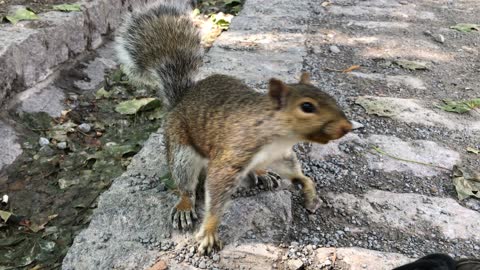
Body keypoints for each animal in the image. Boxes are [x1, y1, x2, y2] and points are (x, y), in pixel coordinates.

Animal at [114, 0, 350, 254]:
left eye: (330, 97)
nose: (347, 127)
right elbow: (216, 193)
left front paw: (308, 187)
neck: (279, 137)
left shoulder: (280, 155)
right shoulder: (232, 155)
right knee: (184, 182)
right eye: (307, 106)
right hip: (181, 151)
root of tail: (180, 101)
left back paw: (263, 173)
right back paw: (185, 205)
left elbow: (295, 171)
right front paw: (208, 231)